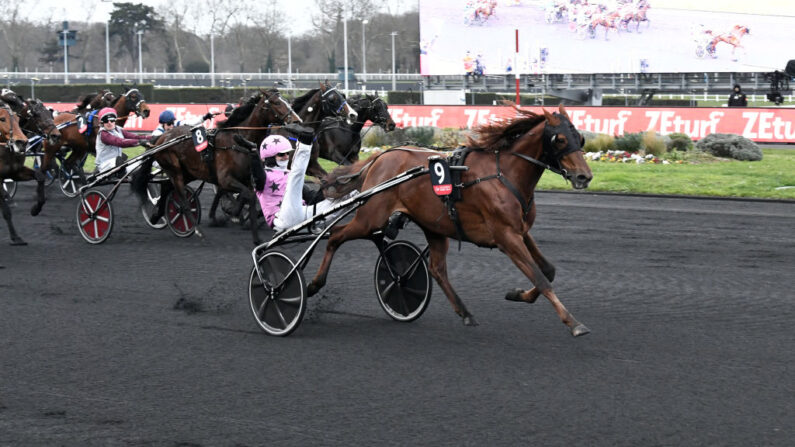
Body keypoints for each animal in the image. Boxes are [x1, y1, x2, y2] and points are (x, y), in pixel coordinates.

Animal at [0, 102, 45, 245]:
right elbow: (6, 211)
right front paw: (16, 237)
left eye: (17, 119)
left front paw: (35, 209)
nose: (22, 142)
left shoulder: (15, 172)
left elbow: (40, 176)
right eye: (2, 119)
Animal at [132, 88, 300, 245]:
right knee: (183, 200)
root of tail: (160, 139)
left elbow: (249, 197)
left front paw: (255, 235)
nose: (297, 120)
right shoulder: (225, 179)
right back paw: (196, 230)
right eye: (276, 103)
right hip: (175, 170)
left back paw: (156, 215)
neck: (238, 141)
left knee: (167, 187)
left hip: (188, 172)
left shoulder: (247, 180)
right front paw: (231, 213)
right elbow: (245, 195)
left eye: (287, 101)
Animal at [314, 105, 592, 336]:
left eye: (579, 138)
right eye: (559, 139)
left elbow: (548, 270)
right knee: (336, 235)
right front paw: (573, 322)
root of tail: (381, 157)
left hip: (433, 225)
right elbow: (540, 277)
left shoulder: (521, 231)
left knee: (437, 269)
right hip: (371, 217)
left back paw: (463, 311)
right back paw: (314, 284)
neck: (504, 174)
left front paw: (517, 294)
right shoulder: (506, 236)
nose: (584, 176)